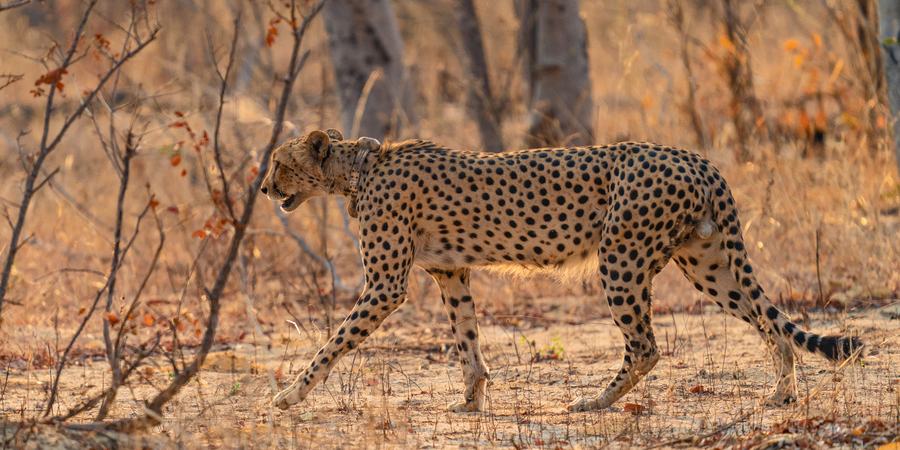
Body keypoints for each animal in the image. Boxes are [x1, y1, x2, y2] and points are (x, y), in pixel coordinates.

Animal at [260, 128, 862, 413]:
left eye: (280, 163)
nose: (264, 188)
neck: (358, 169)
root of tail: (694, 156)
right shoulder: (451, 274)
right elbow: (468, 342)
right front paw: (471, 401)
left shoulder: (385, 287)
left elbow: (333, 343)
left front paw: (290, 395)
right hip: (706, 262)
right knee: (767, 321)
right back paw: (782, 393)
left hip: (621, 258)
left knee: (646, 346)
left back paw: (595, 401)